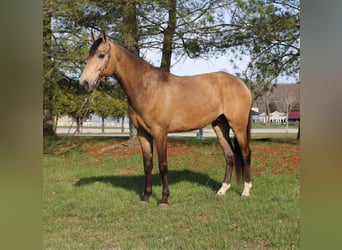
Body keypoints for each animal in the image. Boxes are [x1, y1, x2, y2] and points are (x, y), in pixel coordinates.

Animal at [79, 30, 251, 208]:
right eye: (88, 56)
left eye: (101, 55)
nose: (84, 83)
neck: (146, 88)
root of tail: (241, 83)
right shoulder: (143, 134)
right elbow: (147, 165)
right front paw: (145, 197)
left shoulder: (160, 133)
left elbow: (163, 165)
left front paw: (164, 199)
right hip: (220, 126)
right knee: (229, 155)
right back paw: (222, 190)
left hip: (238, 127)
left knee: (246, 154)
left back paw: (246, 191)